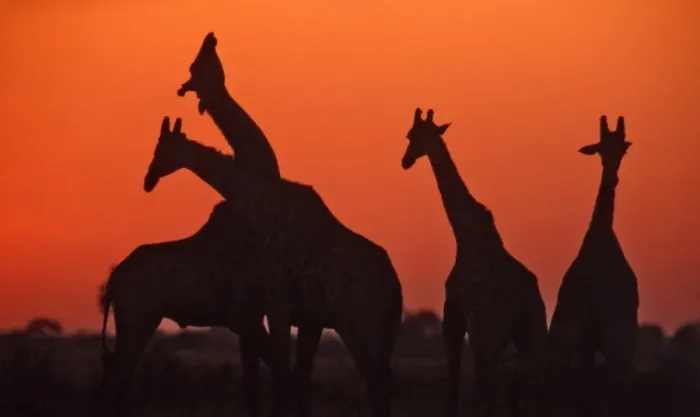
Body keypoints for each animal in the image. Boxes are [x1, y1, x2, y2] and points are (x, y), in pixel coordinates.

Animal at [144, 117, 404, 417]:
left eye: (161, 149)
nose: (148, 180)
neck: (263, 207)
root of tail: (394, 287)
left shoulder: (277, 303)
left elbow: (282, 371)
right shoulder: (301, 315)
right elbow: (294, 375)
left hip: (357, 325)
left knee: (376, 380)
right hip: (383, 331)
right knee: (382, 380)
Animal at [400, 109, 548, 417]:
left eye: (412, 136)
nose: (405, 161)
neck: (466, 235)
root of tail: (521, 304)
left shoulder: (454, 312)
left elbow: (454, 377)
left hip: (488, 336)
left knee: (489, 383)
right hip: (532, 332)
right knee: (530, 382)